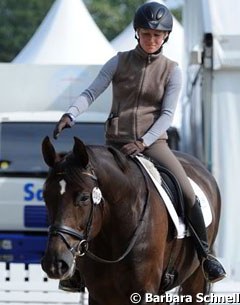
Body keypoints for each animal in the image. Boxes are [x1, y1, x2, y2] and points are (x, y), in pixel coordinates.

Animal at [40, 136, 221, 304]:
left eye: (84, 197)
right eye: (46, 195)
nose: (55, 263)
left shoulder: (144, 292)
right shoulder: (99, 295)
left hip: (196, 278)